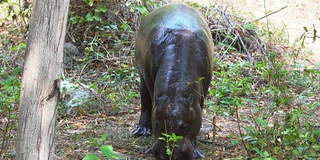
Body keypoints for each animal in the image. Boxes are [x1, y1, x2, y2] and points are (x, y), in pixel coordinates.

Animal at [131, 3, 214, 159]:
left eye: (184, 127)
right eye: (157, 125)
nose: (168, 155)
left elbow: (198, 113)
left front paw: (197, 152)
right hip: (142, 75)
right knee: (145, 100)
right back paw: (141, 131)